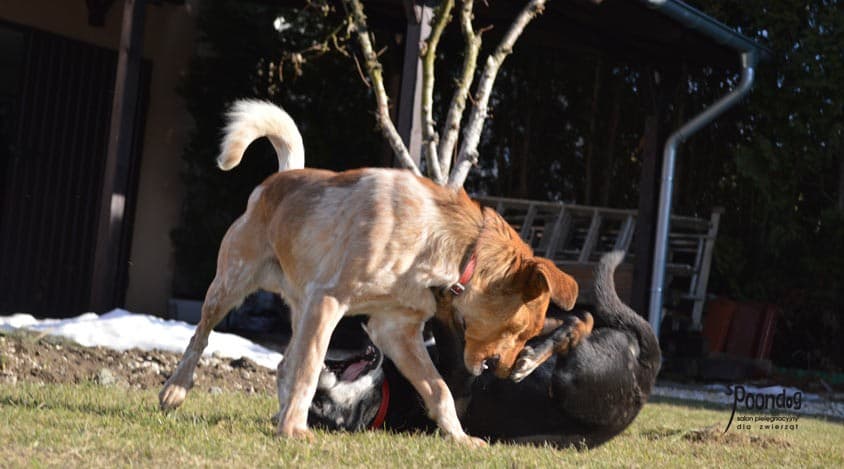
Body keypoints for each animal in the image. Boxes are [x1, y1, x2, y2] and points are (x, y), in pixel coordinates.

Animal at [158, 100, 580, 444]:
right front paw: (295, 429)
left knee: (282, 364)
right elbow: (309, 371)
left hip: (300, 310)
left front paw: (460, 438)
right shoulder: (329, 302)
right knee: (202, 338)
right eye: (521, 330)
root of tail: (280, 179)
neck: (454, 254)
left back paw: (279, 414)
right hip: (233, 284)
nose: (510, 372)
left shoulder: (396, 331)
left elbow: (438, 389)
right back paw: (176, 391)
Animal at [296, 250, 660, 448]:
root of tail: (648, 367)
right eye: (320, 405)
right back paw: (534, 355)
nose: (322, 372)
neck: (386, 398)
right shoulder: (457, 376)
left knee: (576, 319)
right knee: (577, 325)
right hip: (571, 382)